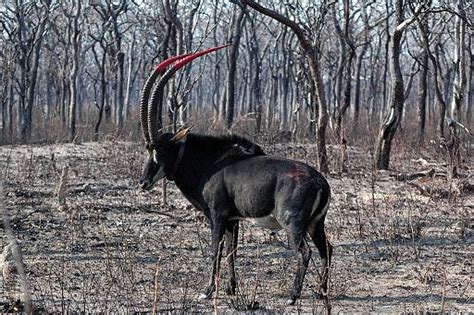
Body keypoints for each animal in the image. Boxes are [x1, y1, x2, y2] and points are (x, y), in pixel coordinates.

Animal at [140, 44, 334, 306]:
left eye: (160, 150)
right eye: (148, 149)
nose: (144, 182)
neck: (209, 162)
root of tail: (319, 182)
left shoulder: (218, 216)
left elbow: (216, 250)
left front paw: (207, 291)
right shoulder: (234, 220)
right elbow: (232, 251)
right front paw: (231, 289)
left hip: (293, 224)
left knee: (305, 252)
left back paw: (293, 297)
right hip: (315, 224)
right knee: (327, 249)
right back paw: (321, 291)